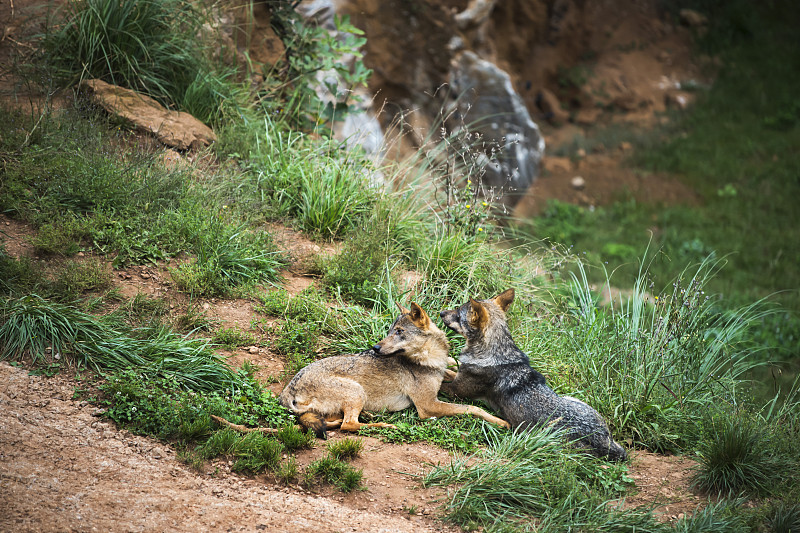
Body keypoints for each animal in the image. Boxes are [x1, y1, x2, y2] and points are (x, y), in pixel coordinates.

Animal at [278, 302, 510, 438]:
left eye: (398, 332)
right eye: (390, 331)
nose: (375, 348)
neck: (429, 359)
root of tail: (286, 392)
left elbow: (453, 366)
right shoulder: (427, 406)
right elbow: (473, 408)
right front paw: (502, 422)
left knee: (332, 422)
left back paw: (370, 416)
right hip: (356, 391)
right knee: (348, 425)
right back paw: (385, 425)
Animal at [440, 288, 628, 460]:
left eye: (458, 313)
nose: (441, 312)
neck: (496, 352)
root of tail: (606, 440)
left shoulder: (457, 391)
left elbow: (444, 381)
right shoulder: (461, 372)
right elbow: (449, 367)